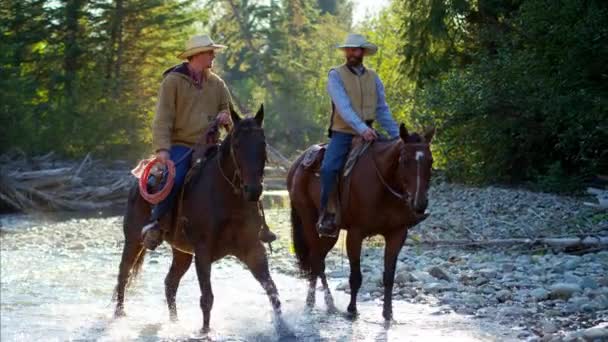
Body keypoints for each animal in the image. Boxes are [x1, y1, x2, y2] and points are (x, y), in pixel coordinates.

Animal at [113, 105, 284, 334]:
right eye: (237, 144)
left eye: (262, 144)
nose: (254, 190)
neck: (227, 199)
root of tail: (137, 182)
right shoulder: (203, 251)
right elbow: (207, 298)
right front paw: (205, 332)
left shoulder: (253, 249)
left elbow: (272, 291)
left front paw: (285, 328)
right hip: (133, 241)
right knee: (123, 274)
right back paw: (119, 314)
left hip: (182, 252)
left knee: (170, 283)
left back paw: (174, 322)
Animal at [288, 125, 434, 320]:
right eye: (404, 161)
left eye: (431, 161)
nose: (420, 203)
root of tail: (297, 163)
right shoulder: (355, 234)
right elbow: (355, 276)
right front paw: (352, 310)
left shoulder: (397, 234)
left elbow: (389, 276)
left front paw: (388, 313)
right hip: (308, 220)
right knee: (317, 260)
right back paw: (320, 303)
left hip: (330, 232)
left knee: (318, 260)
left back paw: (322, 304)